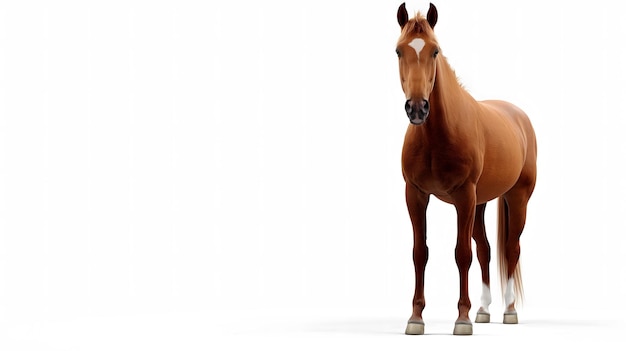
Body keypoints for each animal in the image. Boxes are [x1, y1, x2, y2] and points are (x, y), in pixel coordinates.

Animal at [394, 4, 536, 336]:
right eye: (398, 51)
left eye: (435, 51)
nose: (417, 109)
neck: (438, 135)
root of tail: (519, 117)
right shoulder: (415, 195)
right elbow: (420, 253)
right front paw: (415, 318)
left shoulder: (464, 197)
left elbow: (462, 254)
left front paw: (462, 318)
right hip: (481, 202)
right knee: (486, 249)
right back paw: (484, 310)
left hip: (516, 197)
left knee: (511, 249)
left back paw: (509, 311)